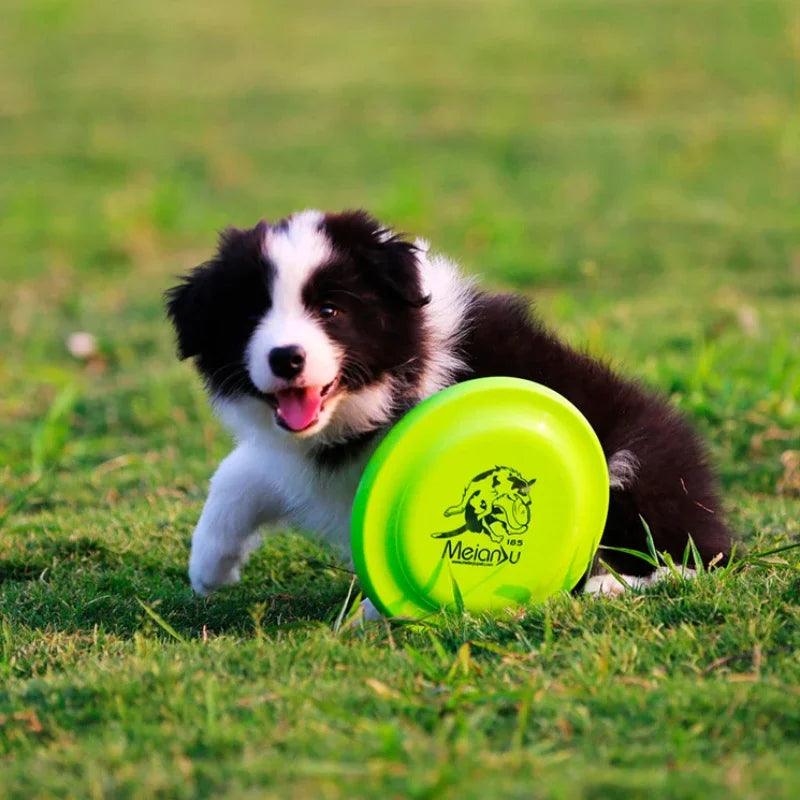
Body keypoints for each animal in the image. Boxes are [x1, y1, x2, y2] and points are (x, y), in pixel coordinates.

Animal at [167, 209, 732, 604]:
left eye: (329, 310)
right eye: (250, 318)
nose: (285, 357)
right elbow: (239, 471)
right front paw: (209, 566)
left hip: (632, 461)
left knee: (694, 557)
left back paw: (614, 584)